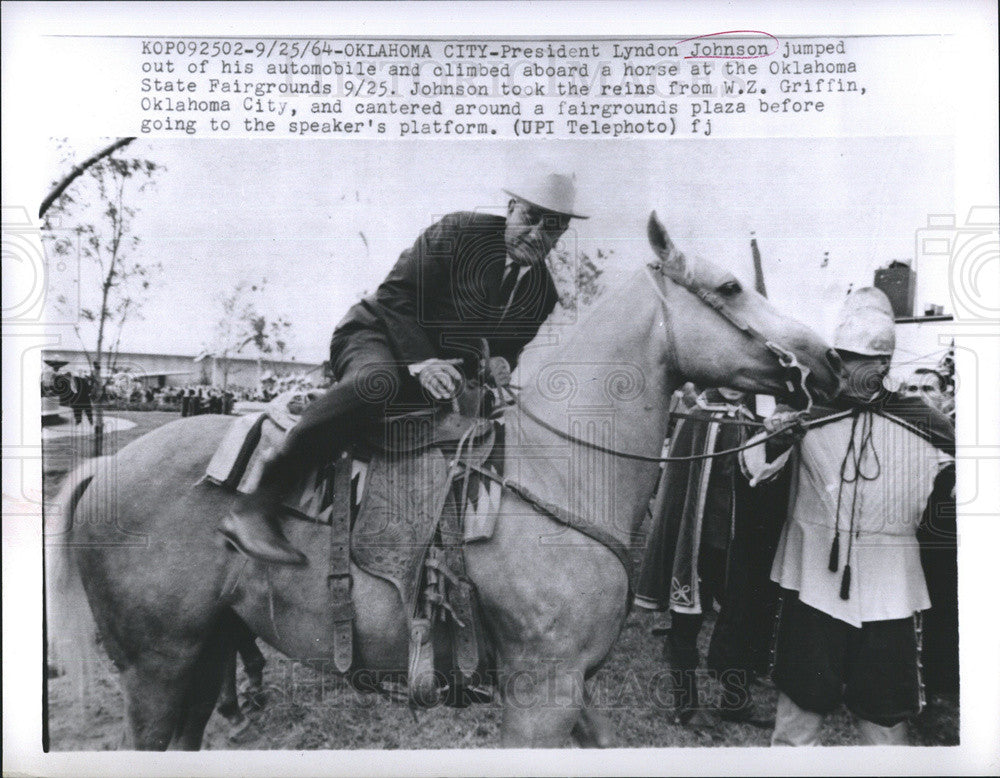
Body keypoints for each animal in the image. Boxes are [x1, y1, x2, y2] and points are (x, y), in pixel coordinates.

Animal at [47, 212, 844, 744]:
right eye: (731, 286)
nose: (831, 362)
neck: (562, 469)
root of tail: (105, 466)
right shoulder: (541, 694)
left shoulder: (575, 690)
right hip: (158, 669)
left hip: (203, 654)